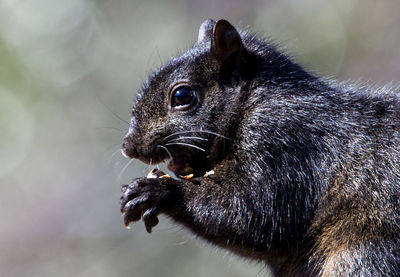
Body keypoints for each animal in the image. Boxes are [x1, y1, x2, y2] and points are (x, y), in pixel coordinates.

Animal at [119, 18, 400, 274]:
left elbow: (255, 215)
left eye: (182, 95)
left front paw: (158, 190)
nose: (127, 146)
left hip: (362, 255)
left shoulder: (284, 144)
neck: (252, 102)